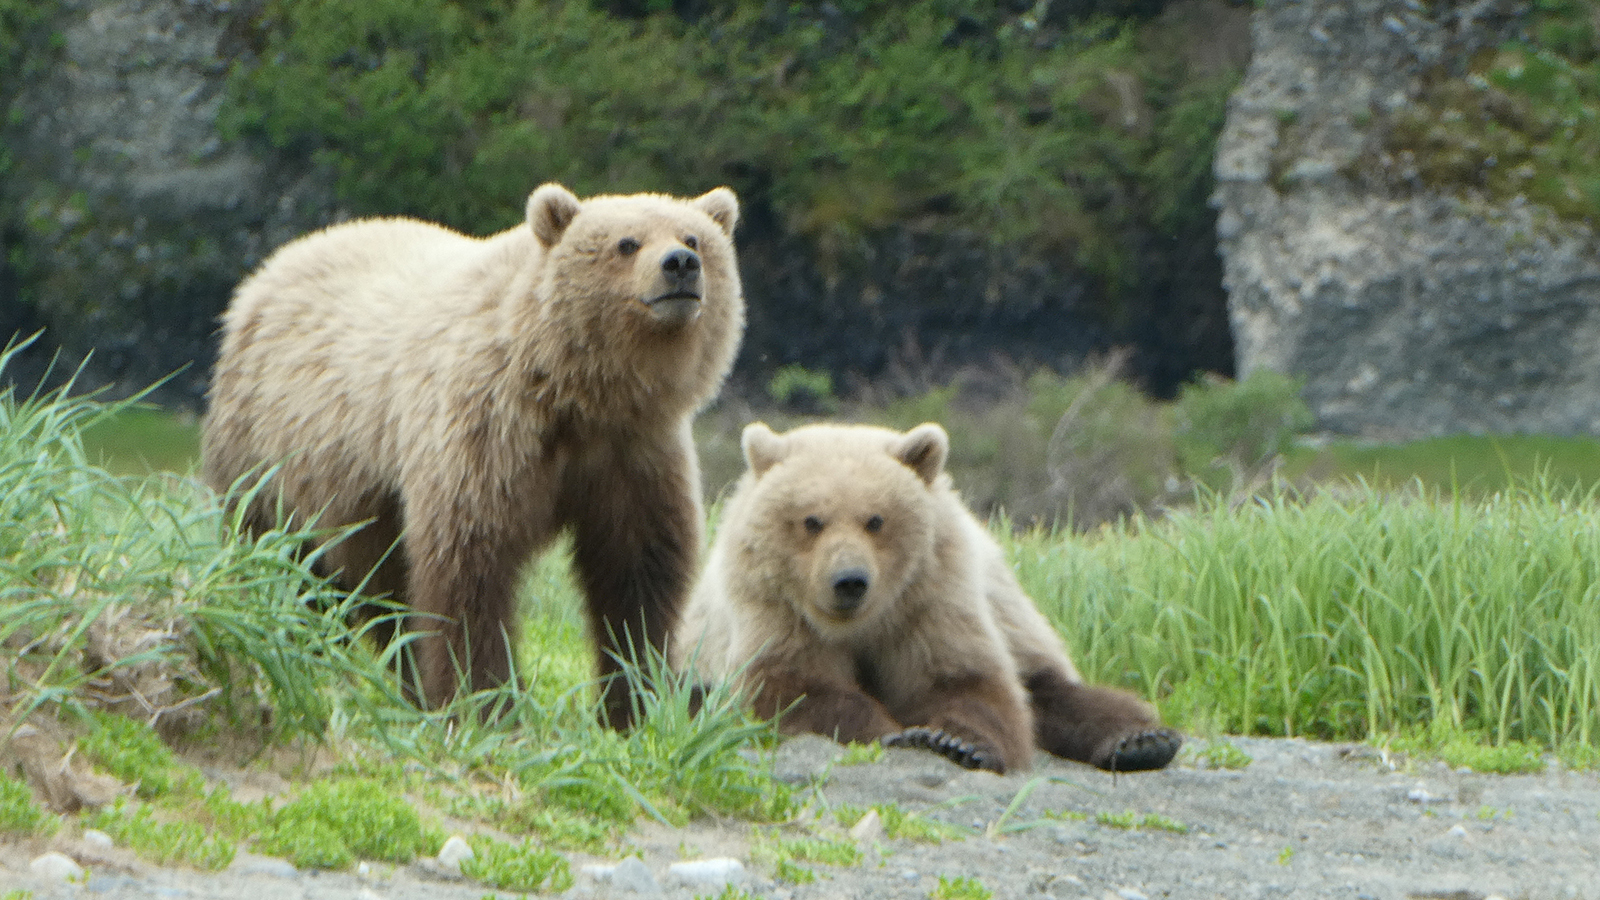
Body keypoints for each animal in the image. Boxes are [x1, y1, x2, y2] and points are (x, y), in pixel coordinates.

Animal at [201, 183, 744, 726]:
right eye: (627, 243)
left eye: (693, 236)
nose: (680, 264)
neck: (574, 394)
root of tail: (268, 270)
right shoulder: (486, 432)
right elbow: (469, 570)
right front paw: (485, 705)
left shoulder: (635, 452)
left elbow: (639, 570)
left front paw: (636, 702)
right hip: (275, 458)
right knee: (283, 564)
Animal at [672, 421, 1181, 773]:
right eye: (811, 520)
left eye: (875, 519)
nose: (849, 580)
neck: (860, 623)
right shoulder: (774, 608)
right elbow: (793, 686)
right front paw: (889, 731)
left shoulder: (930, 599)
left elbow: (960, 679)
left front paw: (956, 742)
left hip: (1010, 610)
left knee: (1049, 685)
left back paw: (1142, 741)